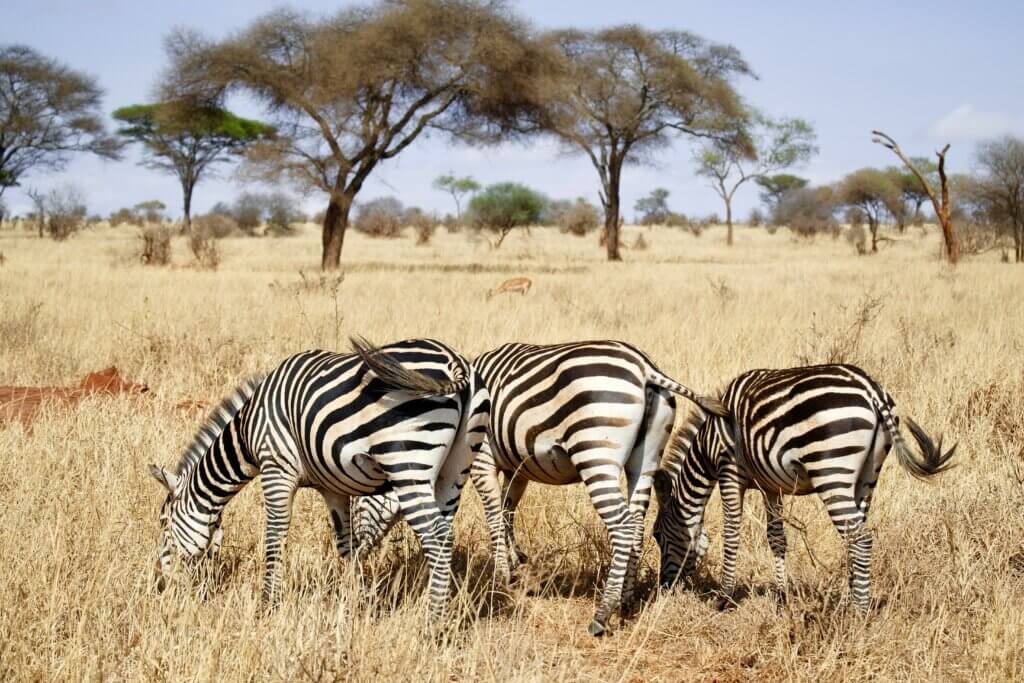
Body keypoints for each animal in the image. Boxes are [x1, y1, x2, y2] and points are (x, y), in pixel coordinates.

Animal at [147, 337, 491, 626]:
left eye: (163, 522)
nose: (160, 583)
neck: (246, 431)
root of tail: (454, 362)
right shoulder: (332, 487)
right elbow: (346, 545)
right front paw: (354, 602)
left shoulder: (277, 467)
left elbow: (275, 535)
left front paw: (268, 605)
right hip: (455, 469)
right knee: (445, 531)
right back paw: (435, 610)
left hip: (407, 463)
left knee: (437, 538)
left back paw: (431, 626)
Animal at [352, 342, 729, 634]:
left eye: (359, 502)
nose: (354, 557)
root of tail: (646, 368)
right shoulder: (517, 467)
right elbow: (508, 509)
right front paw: (516, 562)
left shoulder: (483, 458)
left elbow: (493, 513)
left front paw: (501, 575)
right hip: (645, 458)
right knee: (636, 523)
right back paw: (626, 599)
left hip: (596, 453)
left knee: (622, 526)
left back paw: (603, 613)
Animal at [651, 362, 954, 614]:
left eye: (657, 535)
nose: (664, 588)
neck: (707, 446)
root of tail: (871, 390)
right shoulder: (770, 486)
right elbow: (776, 538)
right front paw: (782, 598)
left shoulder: (730, 471)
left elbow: (731, 533)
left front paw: (724, 598)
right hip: (868, 475)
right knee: (854, 536)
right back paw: (852, 598)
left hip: (831, 470)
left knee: (860, 539)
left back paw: (860, 612)